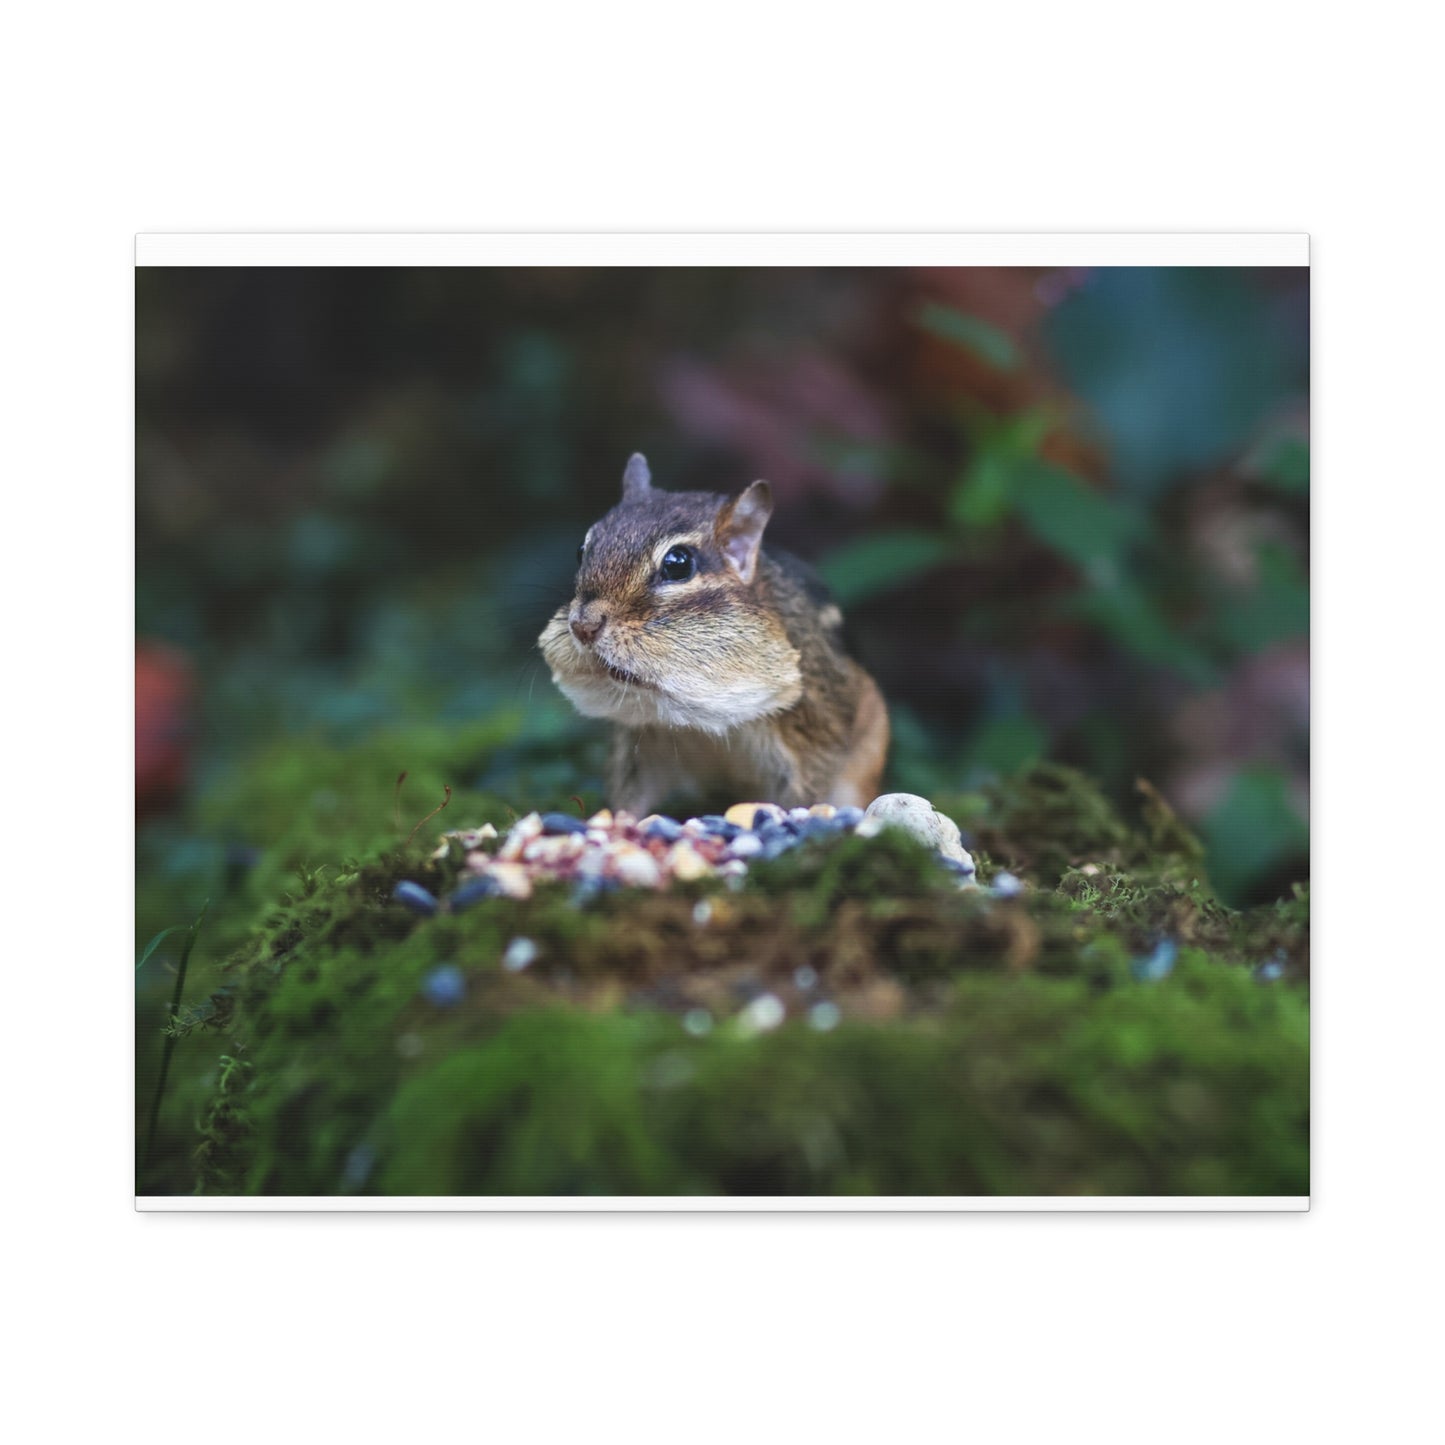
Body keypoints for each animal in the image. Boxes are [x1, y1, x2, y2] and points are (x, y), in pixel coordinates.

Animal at [538, 454, 889, 817]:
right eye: (581, 550)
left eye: (678, 564)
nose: (583, 626)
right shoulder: (639, 744)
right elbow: (629, 796)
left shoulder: (812, 736)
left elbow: (806, 791)